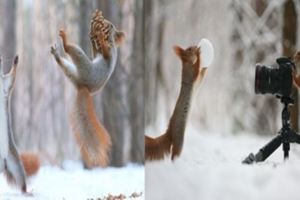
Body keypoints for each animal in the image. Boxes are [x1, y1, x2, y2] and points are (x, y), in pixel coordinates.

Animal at [0, 55, 39, 193]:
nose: (0, 59)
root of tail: (3, 164)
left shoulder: (5, 85)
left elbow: (11, 78)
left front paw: (15, 60)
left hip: (16, 164)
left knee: (22, 182)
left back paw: (27, 193)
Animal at [50, 10, 124, 168]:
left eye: (112, 26)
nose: (109, 25)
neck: (111, 43)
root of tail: (83, 87)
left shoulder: (109, 55)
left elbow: (106, 53)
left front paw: (100, 39)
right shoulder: (97, 54)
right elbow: (95, 52)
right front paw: (95, 39)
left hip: (85, 66)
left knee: (70, 50)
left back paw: (64, 41)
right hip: (72, 72)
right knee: (64, 64)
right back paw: (57, 55)